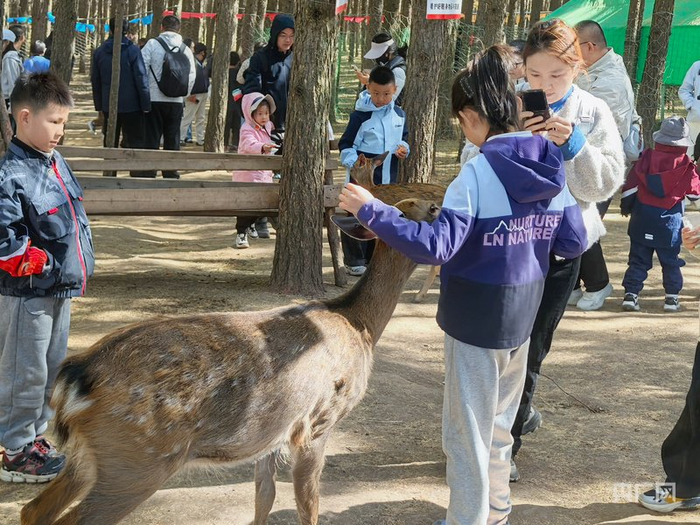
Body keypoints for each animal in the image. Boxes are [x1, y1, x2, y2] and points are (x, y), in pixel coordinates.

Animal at [20, 165, 443, 525]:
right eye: (424, 208)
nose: (444, 202)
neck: (359, 325)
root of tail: (75, 379)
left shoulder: (272, 431)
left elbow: (265, 496)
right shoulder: (318, 420)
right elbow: (307, 505)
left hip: (92, 457)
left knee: (32, 510)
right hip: (137, 459)